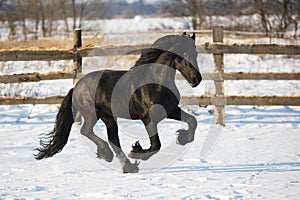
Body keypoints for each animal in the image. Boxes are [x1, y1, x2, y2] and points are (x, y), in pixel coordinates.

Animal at [36, 32, 203, 173]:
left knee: (113, 140)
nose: (197, 80)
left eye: (195, 53)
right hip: (92, 115)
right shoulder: (148, 118)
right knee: (86, 131)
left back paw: (126, 166)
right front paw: (136, 152)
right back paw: (107, 154)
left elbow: (192, 121)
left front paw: (181, 139)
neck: (155, 84)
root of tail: (76, 87)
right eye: (184, 54)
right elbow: (156, 145)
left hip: (109, 118)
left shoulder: (171, 110)